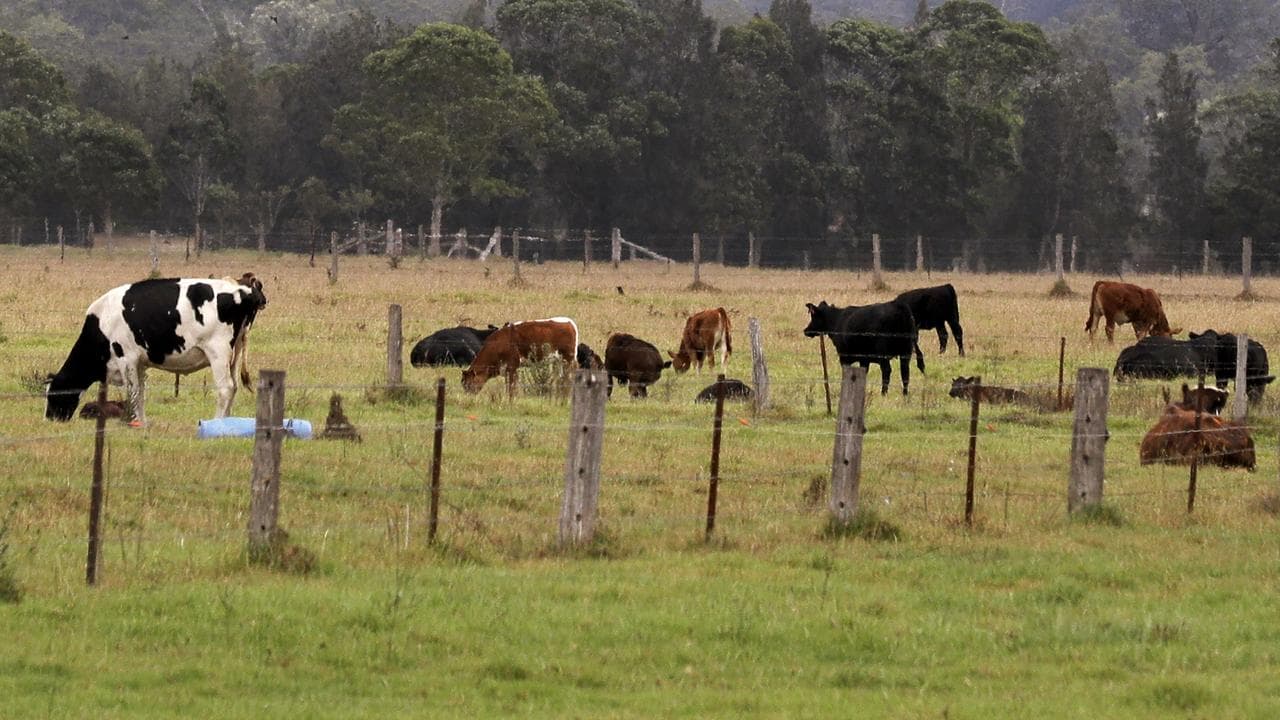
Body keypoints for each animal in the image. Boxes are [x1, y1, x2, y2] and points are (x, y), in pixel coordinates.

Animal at [46, 277, 267, 426]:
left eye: (53, 394)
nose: (50, 418)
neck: (102, 322)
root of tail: (244, 289)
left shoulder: (126, 358)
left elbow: (133, 391)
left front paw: (132, 422)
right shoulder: (140, 363)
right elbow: (141, 393)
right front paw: (141, 423)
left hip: (218, 352)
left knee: (226, 388)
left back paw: (218, 423)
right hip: (235, 353)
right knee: (234, 387)